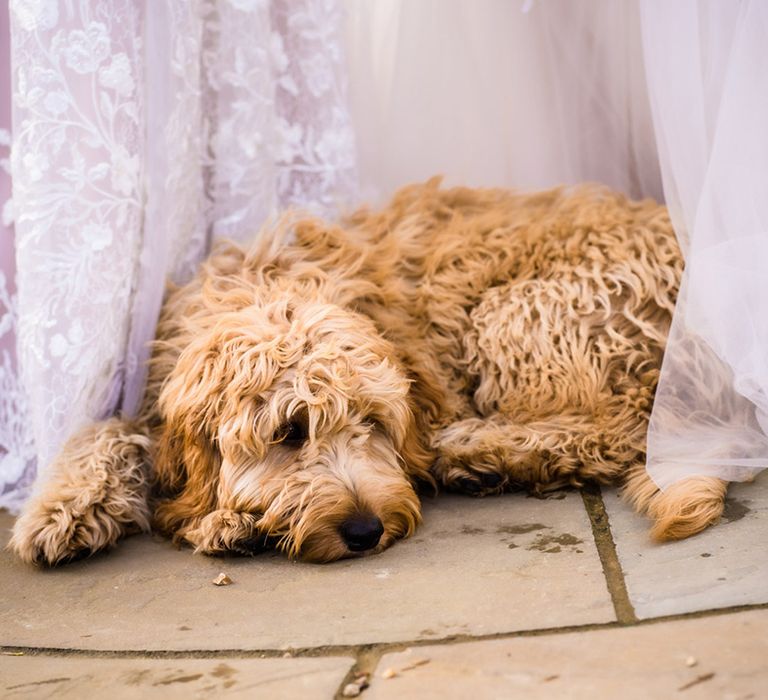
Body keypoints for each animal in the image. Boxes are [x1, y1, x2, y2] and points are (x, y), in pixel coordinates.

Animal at [9, 178, 728, 568]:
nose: (364, 531)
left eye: (374, 424)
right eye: (289, 432)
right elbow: (109, 429)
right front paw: (62, 507)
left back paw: (474, 452)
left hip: (523, 315)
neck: (272, 282)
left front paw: (223, 523)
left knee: (615, 430)